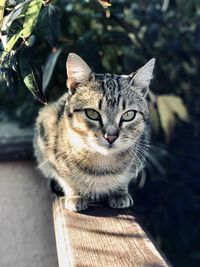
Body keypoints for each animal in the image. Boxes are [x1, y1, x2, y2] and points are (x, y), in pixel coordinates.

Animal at [34, 53, 155, 213]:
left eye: (129, 115)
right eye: (92, 113)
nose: (111, 136)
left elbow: (124, 179)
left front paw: (119, 192)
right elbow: (66, 179)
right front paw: (75, 195)